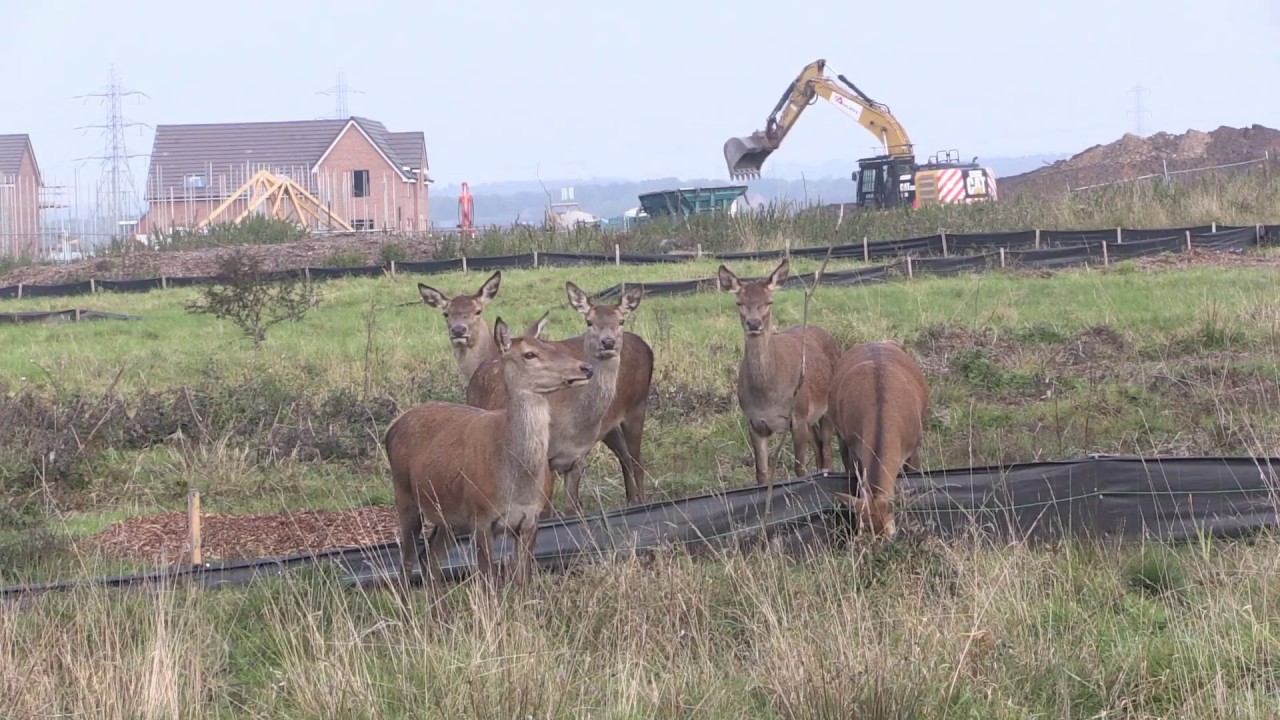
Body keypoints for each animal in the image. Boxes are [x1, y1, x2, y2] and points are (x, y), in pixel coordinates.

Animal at [384, 312, 595, 610]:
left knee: (429, 556)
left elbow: (522, 579)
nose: (585, 368)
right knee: (406, 560)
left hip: (449, 516)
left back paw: (440, 614)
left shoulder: (531, 519)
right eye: (529, 354)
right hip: (405, 495)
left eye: (550, 345)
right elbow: (488, 582)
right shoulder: (481, 518)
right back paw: (408, 612)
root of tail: (392, 428)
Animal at [465, 281, 651, 515]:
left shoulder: (578, 457)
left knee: (634, 461)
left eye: (621, 321)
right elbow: (547, 510)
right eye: (589, 321)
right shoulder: (548, 460)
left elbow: (571, 508)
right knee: (628, 458)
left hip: (637, 407)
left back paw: (638, 502)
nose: (608, 342)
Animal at [717, 257, 840, 486]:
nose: (753, 323)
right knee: (819, 447)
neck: (768, 398)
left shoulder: (797, 415)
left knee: (827, 451)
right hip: (809, 420)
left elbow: (800, 469)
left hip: (825, 407)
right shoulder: (754, 422)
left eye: (769, 301)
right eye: (739, 303)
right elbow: (761, 473)